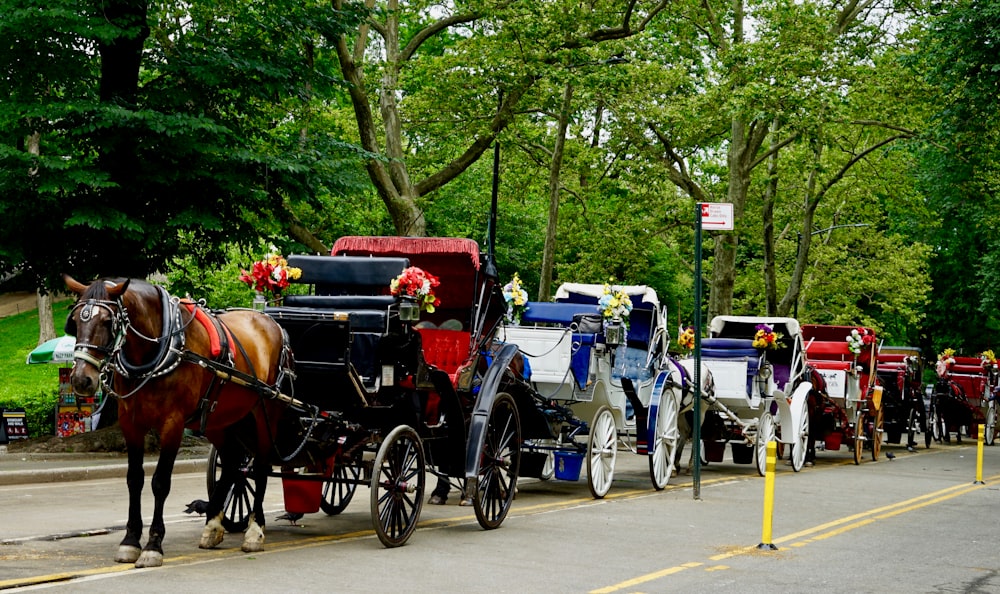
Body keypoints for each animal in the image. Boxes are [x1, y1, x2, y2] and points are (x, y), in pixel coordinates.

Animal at [65, 276, 290, 568]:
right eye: (75, 322)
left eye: (107, 321)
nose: (82, 379)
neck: (160, 348)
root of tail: (270, 321)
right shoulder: (130, 423)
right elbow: (134, 479)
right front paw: (130, 541)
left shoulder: (173, 423)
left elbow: (160, 482)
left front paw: (153, 546)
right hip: (221, 419)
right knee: (232, 464)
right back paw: (213, 526)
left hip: (265, 413)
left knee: (261, 466)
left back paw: (255, 530)